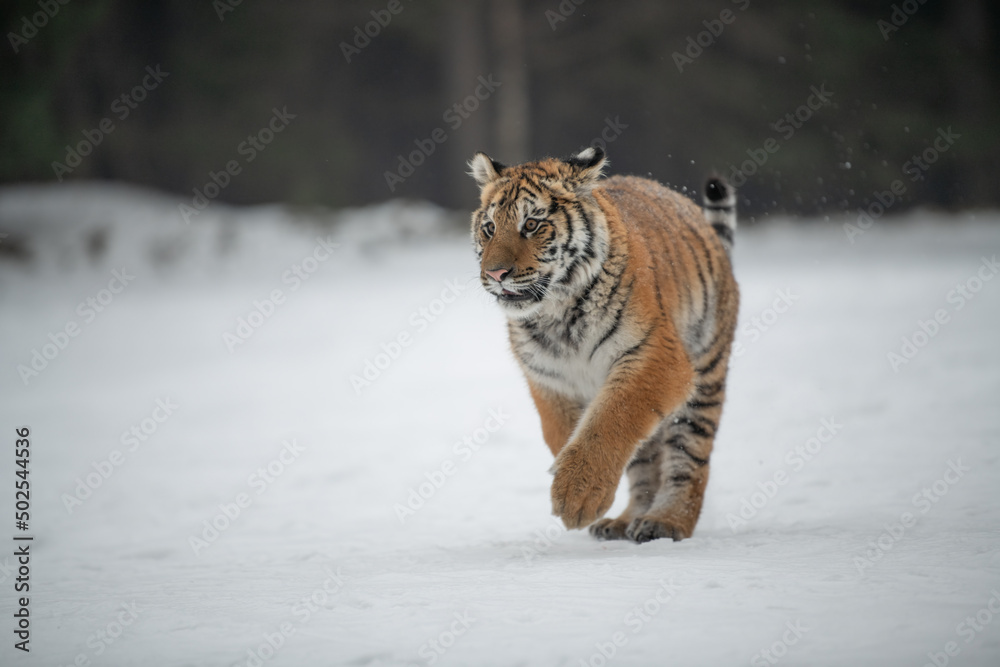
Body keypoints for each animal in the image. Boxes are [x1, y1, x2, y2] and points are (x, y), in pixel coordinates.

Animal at [468, 145, 739, 543]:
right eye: (489, 228)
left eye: (531, 225)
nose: (495, 274)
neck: (557, 313)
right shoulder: (550, 379)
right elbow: (569, 432)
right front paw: (575, 485)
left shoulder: (654, 355)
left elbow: (609, 421)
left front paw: (577, 495)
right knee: (645, 462)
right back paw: (626, 521)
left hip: (705, 376)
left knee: (686, 460)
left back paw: (667, 521)